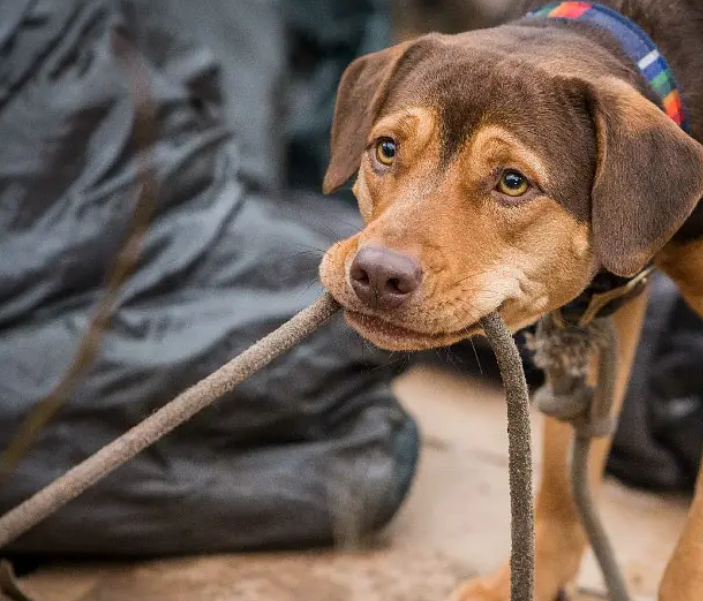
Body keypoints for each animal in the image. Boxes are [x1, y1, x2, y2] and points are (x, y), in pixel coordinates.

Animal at [320, 1, 703, 600]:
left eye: (514, 182)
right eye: (386, 149)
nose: (377, 274)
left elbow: (687, 560)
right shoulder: (603, 305)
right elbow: (562, 487)